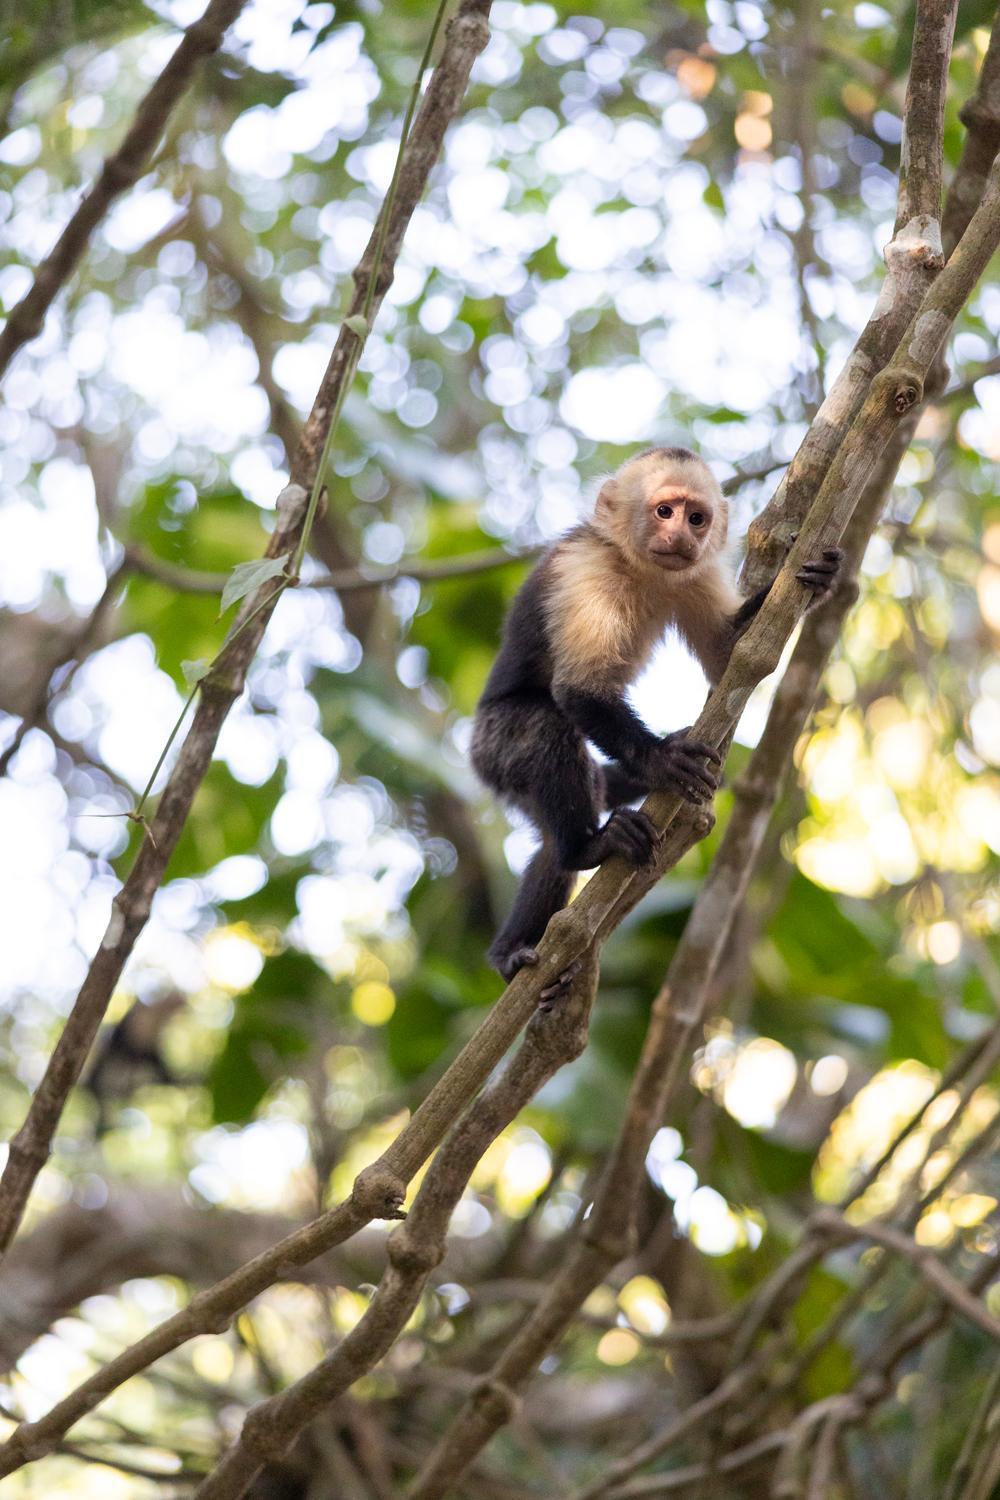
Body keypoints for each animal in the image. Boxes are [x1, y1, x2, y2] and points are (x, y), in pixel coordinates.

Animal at [473, 447, 839, 984]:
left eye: (697, 518)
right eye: (664, 511)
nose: (682, 535)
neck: (639, 566)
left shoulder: (698, 573)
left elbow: (736, 656)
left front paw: (820, 585)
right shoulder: (586, 571)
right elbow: (577, 689)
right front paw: (662, 758)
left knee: (555, 838)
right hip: (494, 744)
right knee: (544, 731)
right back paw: (581, 855)